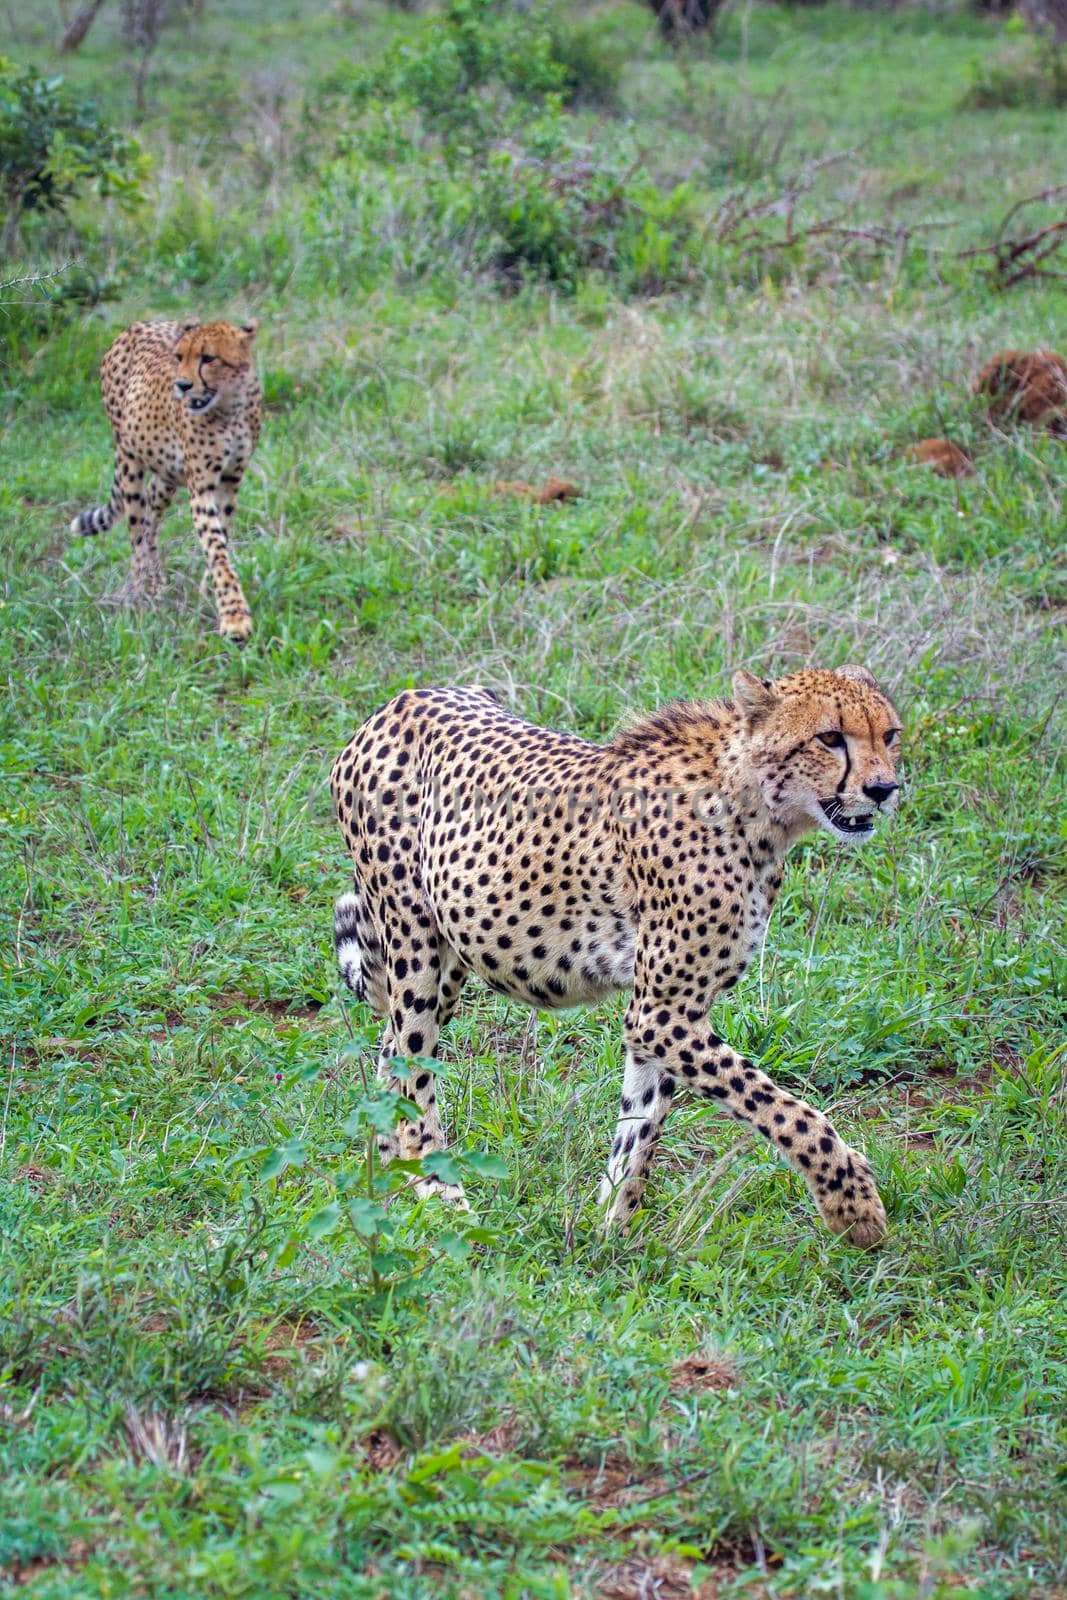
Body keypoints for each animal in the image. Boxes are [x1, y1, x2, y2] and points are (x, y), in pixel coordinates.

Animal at [71, 315, 262, 640]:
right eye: (179, 357)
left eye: (208, 358)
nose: (183, 385)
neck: (229, 407)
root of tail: (137, 325)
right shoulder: (201, 488)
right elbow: (216, 547)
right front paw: (234, 617)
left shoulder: (230, 481)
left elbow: (220, 538)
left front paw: (208, 590)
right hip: (129, 459)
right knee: (137, 528)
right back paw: (143, 589)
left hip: (166, 473)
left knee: (151, 515)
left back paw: (155, 580)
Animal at [331, 668, 902, 1241]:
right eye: (830, 737)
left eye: (890, 735)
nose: (883, 790)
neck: (754, 809)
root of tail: (403, 699)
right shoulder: (662, 1014)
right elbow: (784, 1109)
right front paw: (854, 1205)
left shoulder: (669, 1015)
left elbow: (640, 1128)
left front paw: (612, 1234)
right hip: (415, 944)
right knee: (411, 1070)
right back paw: (441, 1199)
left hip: (448, 954)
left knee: (389, 1055)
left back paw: (387, 1189)